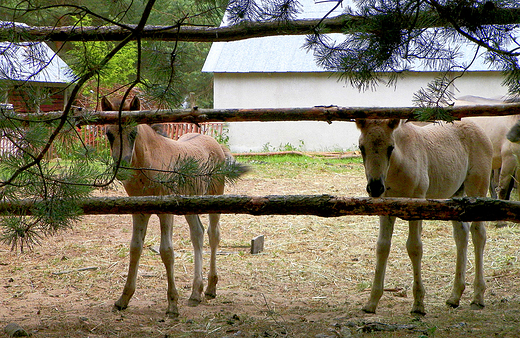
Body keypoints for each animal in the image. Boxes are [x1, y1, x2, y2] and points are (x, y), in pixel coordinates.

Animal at [102, 95, 249, 316]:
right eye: (108, 134)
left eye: (133, 133)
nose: (122, 169)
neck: (150, 163)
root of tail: (215, 143)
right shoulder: (139, 211)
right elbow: (135, 248)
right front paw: (123, 298)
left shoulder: (166, 211)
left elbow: (167, 251)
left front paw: (172, 303)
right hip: (190, 204)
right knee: (197, 233)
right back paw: (196, 292)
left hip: (215, 196)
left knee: (213, 234)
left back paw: (210, 288)